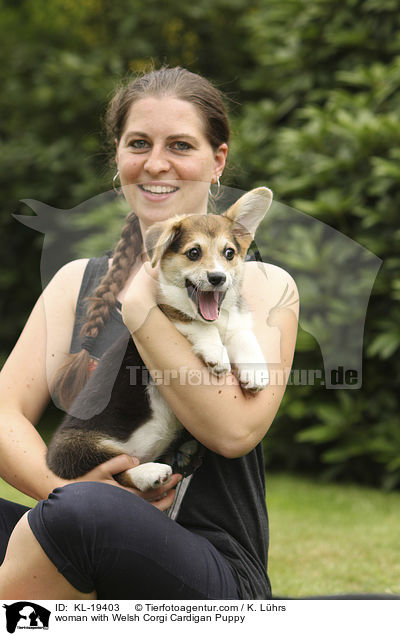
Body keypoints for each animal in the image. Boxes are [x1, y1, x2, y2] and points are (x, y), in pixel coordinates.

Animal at [46, 186, 272, 494]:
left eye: (229, 253)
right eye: (193, 252)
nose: (217, 278)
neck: (215, 318)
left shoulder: (237, 321)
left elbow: (244, 335)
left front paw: (255, 372)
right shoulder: (167, 312)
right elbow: (193, 322)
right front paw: (216, 353)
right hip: (76, 448)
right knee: (115, 470)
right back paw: (150, 472)